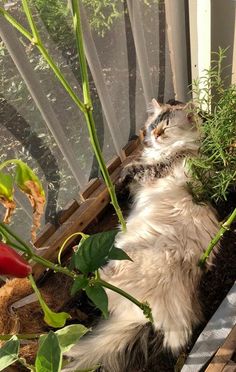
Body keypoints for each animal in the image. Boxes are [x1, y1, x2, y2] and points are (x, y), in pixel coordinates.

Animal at [64, 99, 219, 372]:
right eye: (153, 125)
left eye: (166, 127)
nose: (154, 135)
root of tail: (146, 314)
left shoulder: (156, 169)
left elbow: (132, 169)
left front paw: (118, 182)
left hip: (117, 261)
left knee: (97, 290)